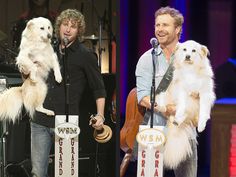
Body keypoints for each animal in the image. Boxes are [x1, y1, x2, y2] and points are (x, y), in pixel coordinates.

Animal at [155, 40, 216, 169]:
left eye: (193, 51)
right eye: (184, 50)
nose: (187, 56)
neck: (190, 70)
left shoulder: (204, 94)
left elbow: (203, 111)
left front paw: (202, 125)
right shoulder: (182, 91)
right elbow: (182, 105)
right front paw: (179, 114)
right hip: (163, 95)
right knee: (167, 108)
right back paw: (171, 114)